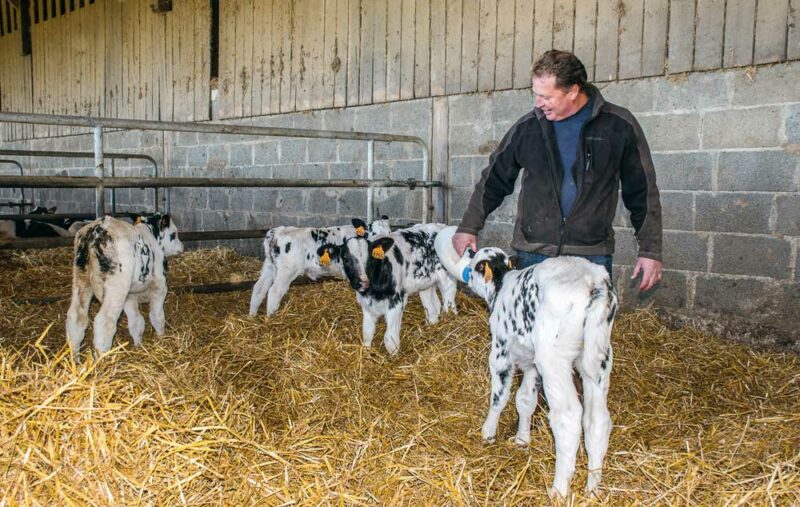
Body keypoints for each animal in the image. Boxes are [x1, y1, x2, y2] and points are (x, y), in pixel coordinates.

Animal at [65, 212, 184, 360]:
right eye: (174, 234)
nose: (182, 247)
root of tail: (98, 228)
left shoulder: (129, 296)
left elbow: (136, 322)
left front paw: (139, 346)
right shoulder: (160, 286)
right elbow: (157, 316)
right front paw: (162, 338)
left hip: (81, 280)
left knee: (76, 318)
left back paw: (75, 359)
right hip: (116, 286)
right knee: (104, 321)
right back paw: (102, 359)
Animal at [247, 218, 390, 318]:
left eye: (389, 232)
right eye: (374, 232)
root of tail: (277, 231)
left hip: (269, 267)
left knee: (259, 288)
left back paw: (252, 316)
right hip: (286, 271)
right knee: (274, 292)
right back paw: (271, 317)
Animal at [318, 224, 456, 356]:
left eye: (370, 258)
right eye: (346, 259)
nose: (362, 282)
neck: (373, 292)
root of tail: (442, 226)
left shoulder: (396, 301)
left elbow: (389, 338)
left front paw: (393, 357)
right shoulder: (366, 305)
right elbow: (367, 332)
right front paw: (366, 353)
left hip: (446, 276)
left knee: (449, 296)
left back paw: (450, 318)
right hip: (425, 282)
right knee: (432, 306)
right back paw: (431, 324)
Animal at [468, 250, 620, 500]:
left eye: (474, 267)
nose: (468, 278)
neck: (502, 285)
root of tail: (593, 282)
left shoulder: (500, 352)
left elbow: (499, 397)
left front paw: (488, 432)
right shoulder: (532, 364)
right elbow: (525, 400)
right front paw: (522, 439)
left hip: (553, 360)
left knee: (568, 417)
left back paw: (559, 489)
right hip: (598, 359)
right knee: (597, 419)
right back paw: (592, 488)